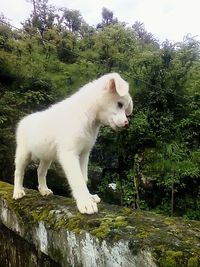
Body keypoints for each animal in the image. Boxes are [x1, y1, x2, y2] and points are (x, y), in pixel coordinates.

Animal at [12, 72, 133, 215]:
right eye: (119, 104)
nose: (126, 124)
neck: (87, 116)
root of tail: (24, 119)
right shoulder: (69, 154)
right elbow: (78, 179)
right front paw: (86, 203)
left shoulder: (84, 153)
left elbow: (84, 178)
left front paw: (89, 197)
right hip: (23, 153)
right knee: (19, 172)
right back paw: (18, 192)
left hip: (46, 157)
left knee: (40, 171)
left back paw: (43, 190)